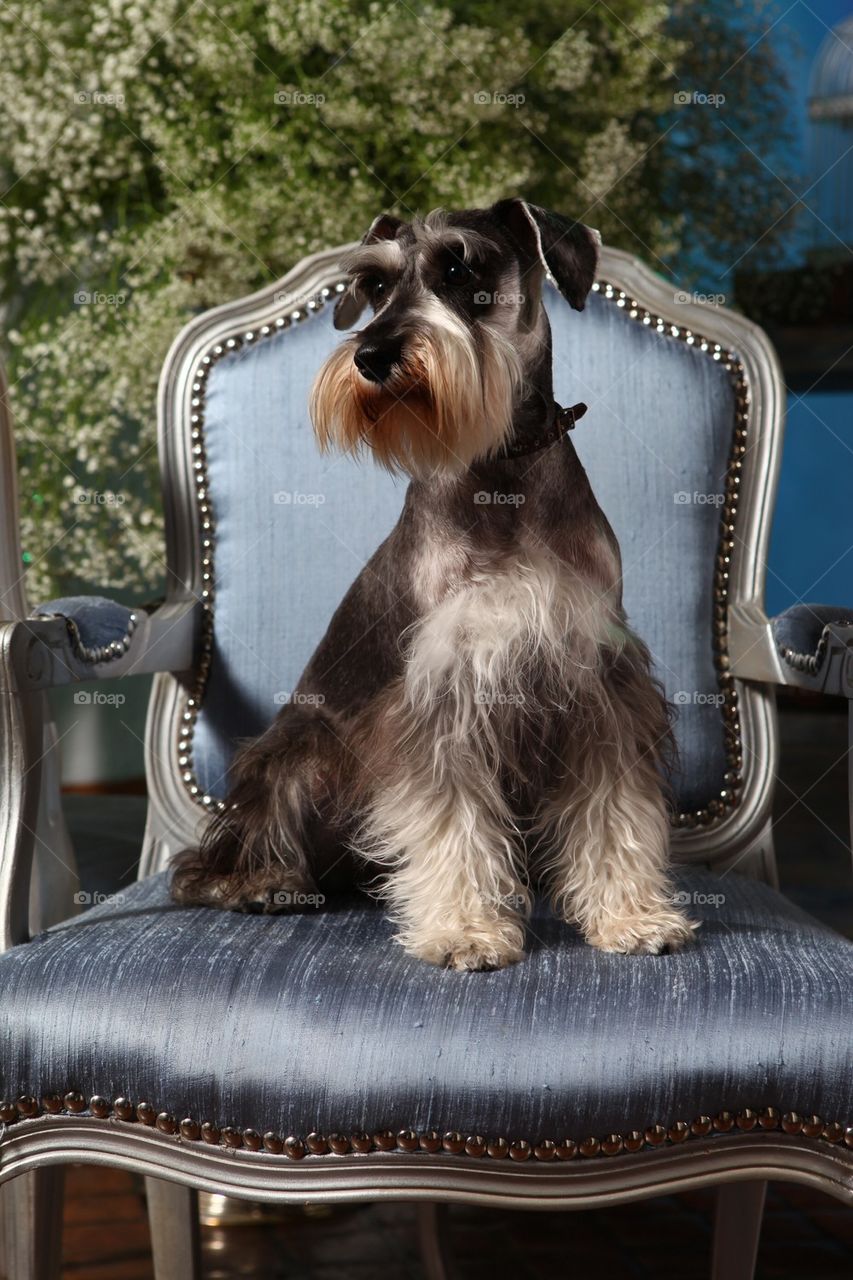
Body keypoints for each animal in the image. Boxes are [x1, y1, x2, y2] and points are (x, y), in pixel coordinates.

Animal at [169, 194, 696, 962]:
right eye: (376, 285)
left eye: (459, 268)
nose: (371, 356)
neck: (502, 470)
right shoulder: (441, 690)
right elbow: (452, 817)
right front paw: (464, 930)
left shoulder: (600, 683)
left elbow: (612, 807)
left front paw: (631, 916)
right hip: (299, 749)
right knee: (219, 854)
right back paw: (258, 882)